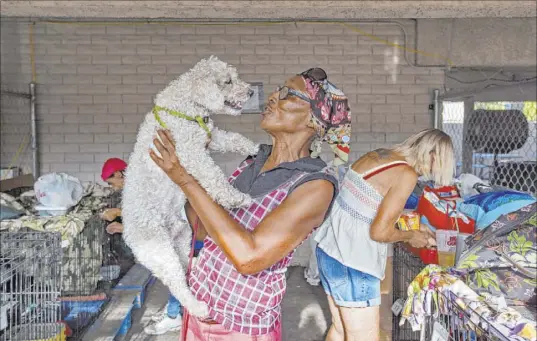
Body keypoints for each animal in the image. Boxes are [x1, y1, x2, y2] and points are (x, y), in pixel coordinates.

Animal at [124, 56, 262, 316]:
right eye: (227, 81)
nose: (251, 92)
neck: (188, 105)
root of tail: (127, 235)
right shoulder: (190, 150)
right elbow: (212, 175)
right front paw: (236, 199)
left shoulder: (210, 136)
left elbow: (232, 138)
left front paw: (255, 147)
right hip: (159, 250)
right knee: (176, 283)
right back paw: (197, 307)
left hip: (182, 237)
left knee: (183, 264)